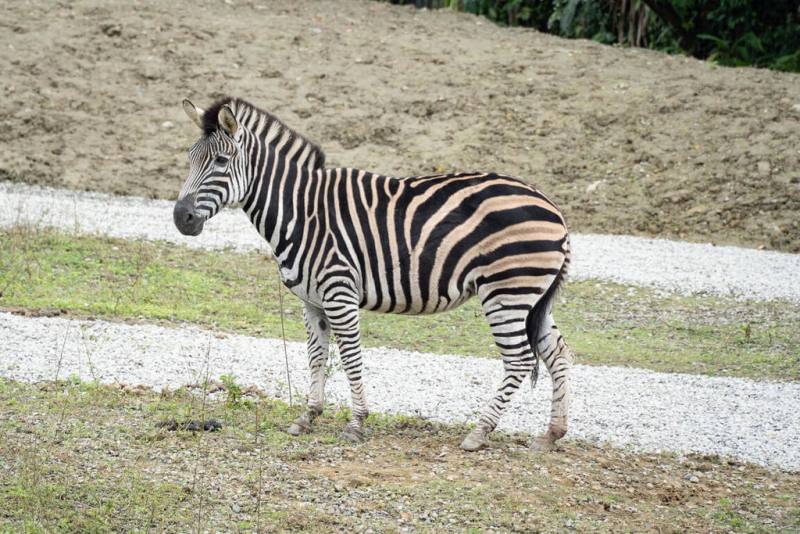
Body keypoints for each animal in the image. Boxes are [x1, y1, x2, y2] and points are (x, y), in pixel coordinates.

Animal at [174, 97, 574, 452]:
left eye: (221, 161)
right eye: (190, 159)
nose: (181, 219)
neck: (301, 212)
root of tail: (553, 208)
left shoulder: (339, 292)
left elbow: (350, 358)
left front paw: (356, 423)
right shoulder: (311, 301)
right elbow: (316, 355)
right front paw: (309, 416)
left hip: (506, 292)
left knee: (520, 359)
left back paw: (479, 432)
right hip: (533, 297)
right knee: (557, 352)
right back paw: (551, 434)